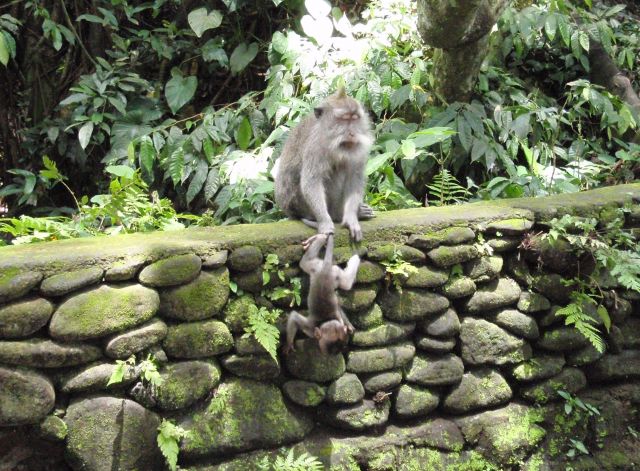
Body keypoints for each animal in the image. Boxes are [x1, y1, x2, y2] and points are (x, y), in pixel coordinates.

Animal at [274, 86, 376, 242]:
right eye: (344, 119)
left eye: (354, 118)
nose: (352, 133)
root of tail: (292, 213)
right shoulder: (314, 146)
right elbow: (312, 182)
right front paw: (325, 223)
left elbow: (354, 179)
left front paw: (351, 219)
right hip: (300, 205)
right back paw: (336, 215)